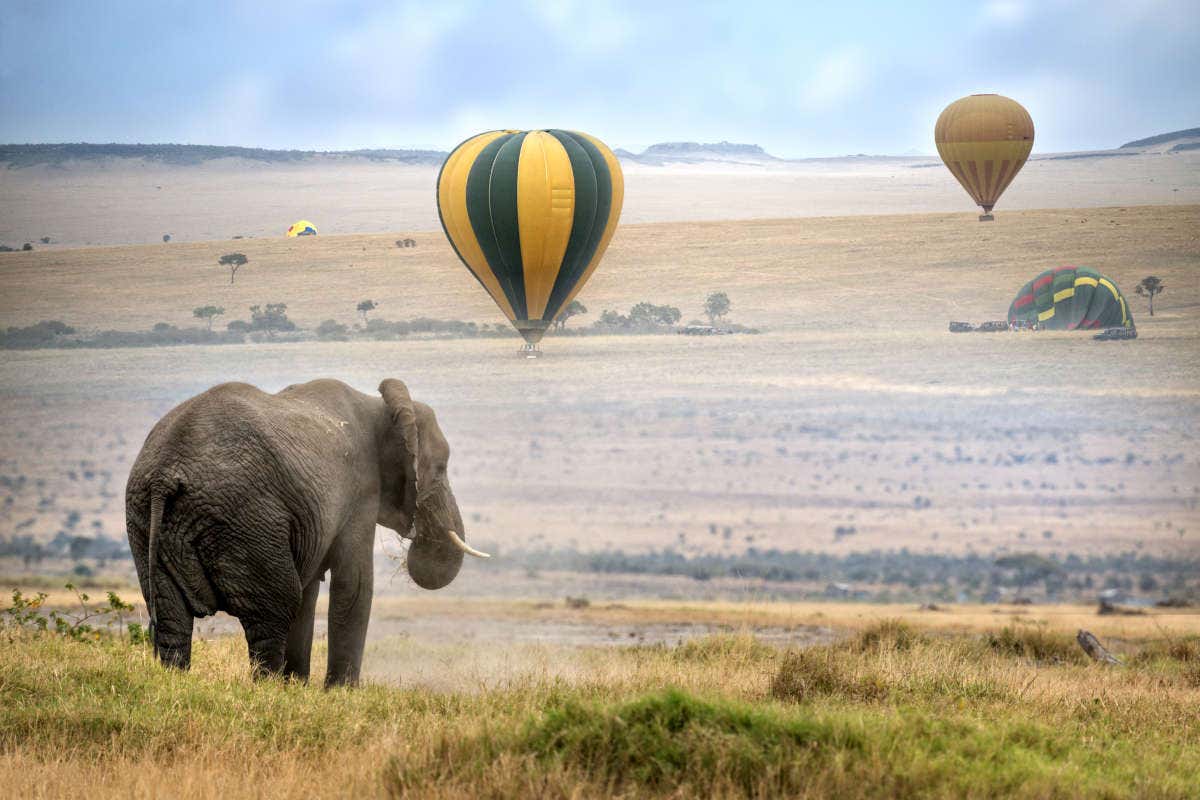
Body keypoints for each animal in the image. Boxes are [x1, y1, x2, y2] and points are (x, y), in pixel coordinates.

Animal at [126, 379, 487, 686]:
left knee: (172, 617)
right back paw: (267, 688)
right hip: (245, 519)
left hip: (146, 522)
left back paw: (176, 682)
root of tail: (164, 475)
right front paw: (340, 693)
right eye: (441, 468)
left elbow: (311, 588)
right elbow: (354, 584)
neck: (380, 406)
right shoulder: (360, 490)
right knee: (275, 607)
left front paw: (298, 686)